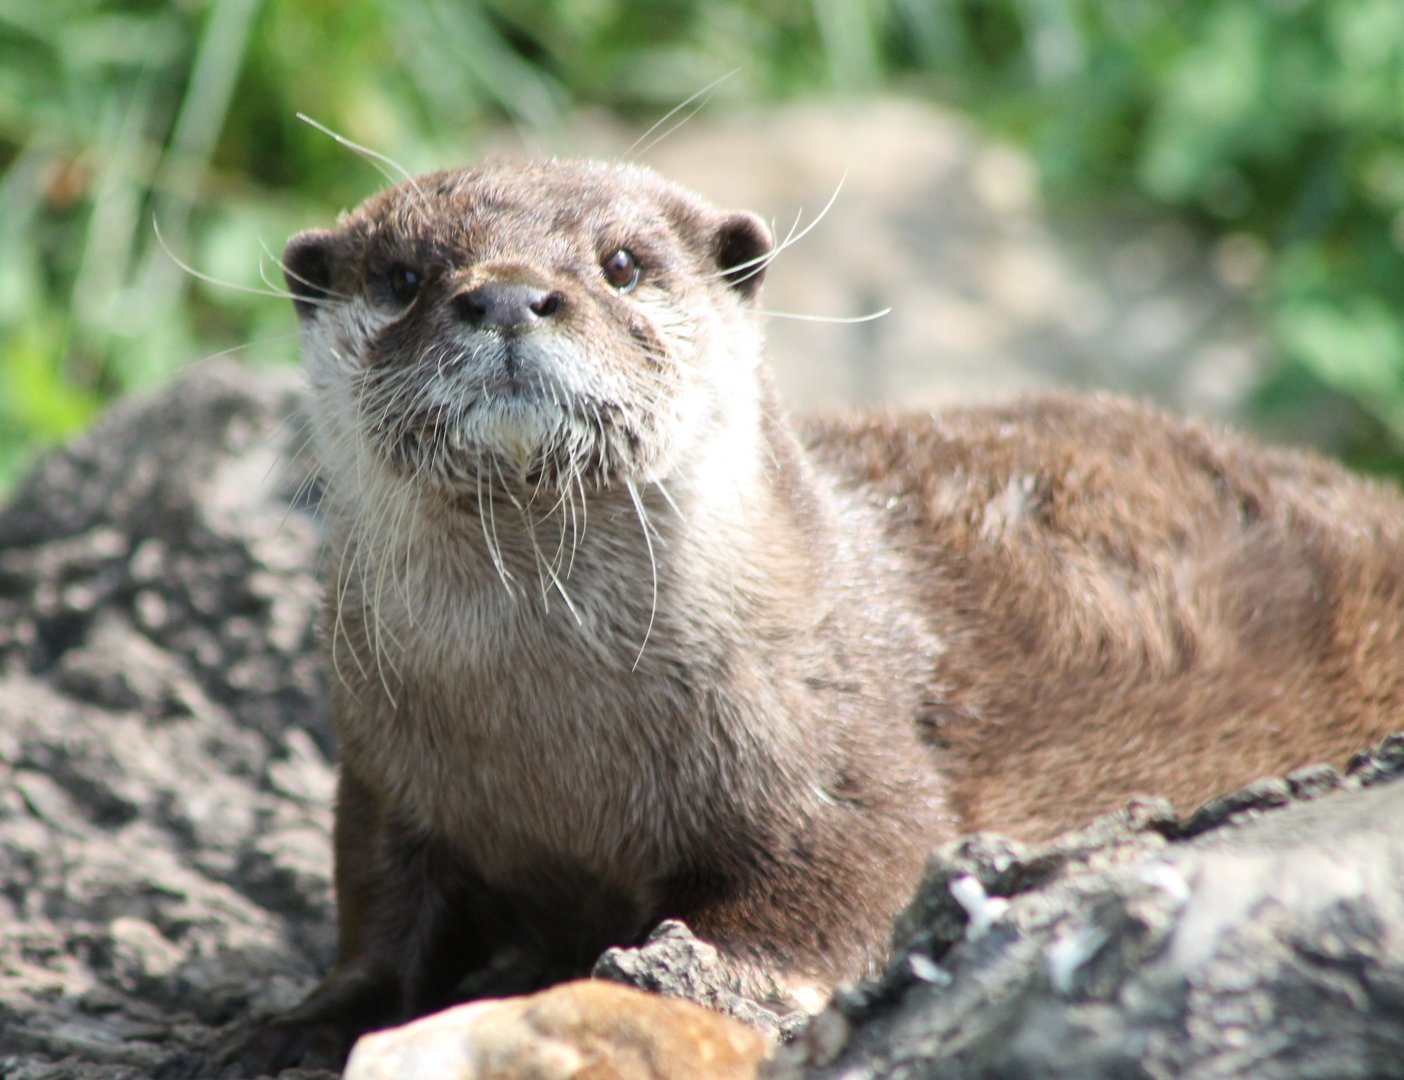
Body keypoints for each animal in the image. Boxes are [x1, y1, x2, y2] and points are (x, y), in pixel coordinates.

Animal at [247, 158, 1404, 1068]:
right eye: (403, 278)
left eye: (621, 263)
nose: (509, 299)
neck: (555, 743)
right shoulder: (385, 769)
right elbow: (379, 907)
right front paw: (302, 1024)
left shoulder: (843, 758)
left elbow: (844, 884)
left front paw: (688, 976)